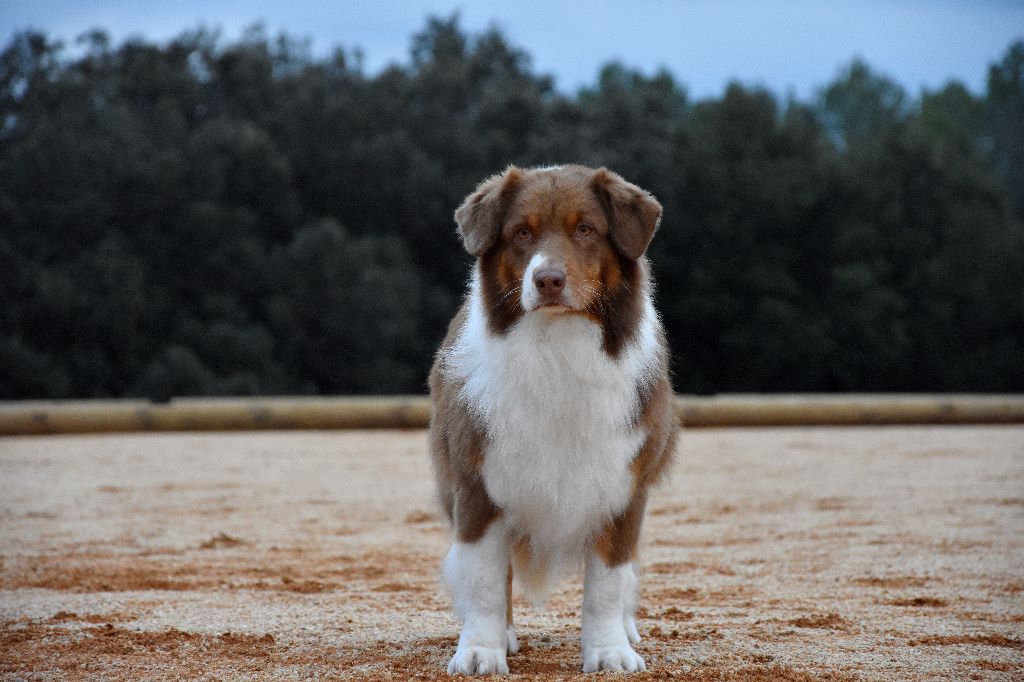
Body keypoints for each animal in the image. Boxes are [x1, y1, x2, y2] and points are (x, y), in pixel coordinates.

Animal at [425, 161, 675, 671]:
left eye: (585, 230)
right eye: (522, 232)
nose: (548, 280)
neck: (557, 349)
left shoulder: (624, 487)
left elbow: (608, 583)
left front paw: (609, 650)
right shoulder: (477, 484)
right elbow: (484, 578)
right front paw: (481, 650)